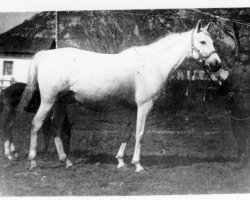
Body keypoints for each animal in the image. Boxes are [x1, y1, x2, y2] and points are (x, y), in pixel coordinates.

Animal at [17, 20, 221, 173]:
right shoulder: (145, 105)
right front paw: (138, 165)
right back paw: (34, 163)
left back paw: (66, 161)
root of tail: (46, 55)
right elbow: (140, 134)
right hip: (49, 100)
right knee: (36, 124)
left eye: (212, 41)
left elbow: (127, 133)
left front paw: (121, 161)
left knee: (55, 127)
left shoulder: (132, 108)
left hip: (61, 102)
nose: (217, 64)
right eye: (202, 42)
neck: (153, 62)